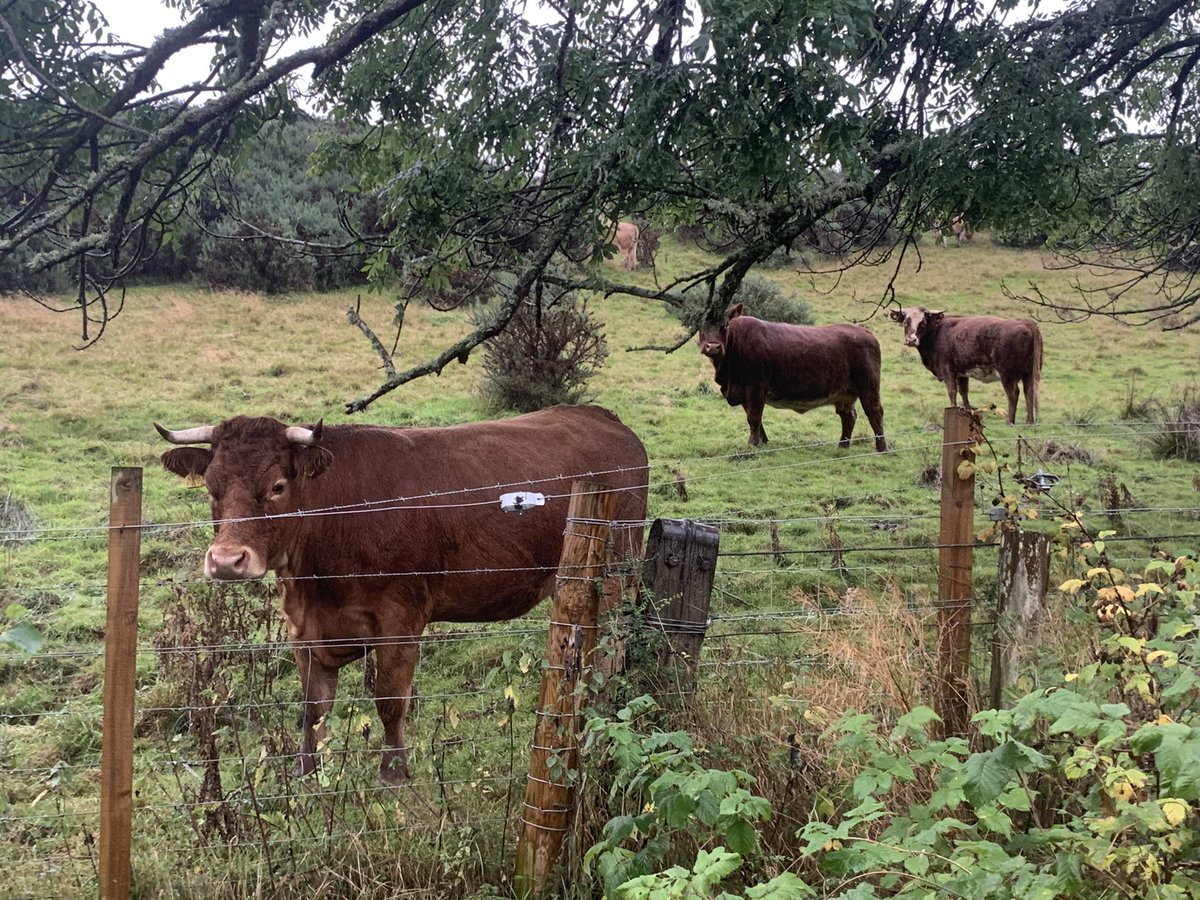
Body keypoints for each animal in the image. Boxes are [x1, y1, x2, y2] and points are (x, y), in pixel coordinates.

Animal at [156, 406, 649, 783]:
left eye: (278, 486)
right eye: (211, 488)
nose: (226, 561)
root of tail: (601, 416)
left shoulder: (399, 620)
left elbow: (390, 701)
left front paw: (393, 773)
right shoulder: (305, 629)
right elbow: (313, 708)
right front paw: (305, 772)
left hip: (617, 573)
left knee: (611, 649)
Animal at [697, 304, 887, 450]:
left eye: (724, 325)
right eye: (701, 325)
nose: (713, 347)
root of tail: (864, 331)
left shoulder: (756, 386)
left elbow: (754, 418)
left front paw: (752, 444)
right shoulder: (743, 391)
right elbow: (756, 419)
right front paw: (762, 441)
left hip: (869, 388)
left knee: (875, 413)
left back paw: (881, 448)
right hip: (844, 394)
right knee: (848, 416)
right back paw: (842, 446)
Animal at [889, 306, 1043, 424]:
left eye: (923, 322)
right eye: (906, 322)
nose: (911, 340)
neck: (938, 331)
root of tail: (1027, 322)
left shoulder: (947, 370)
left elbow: (952, 391)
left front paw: (952, 409)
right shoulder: (962, 372)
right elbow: (964, 391)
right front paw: (967, 408)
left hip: (1007, 375)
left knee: (1013, 394)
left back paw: (1010, 421)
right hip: (1029, 373)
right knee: (1029, 392)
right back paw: (1029, 421)